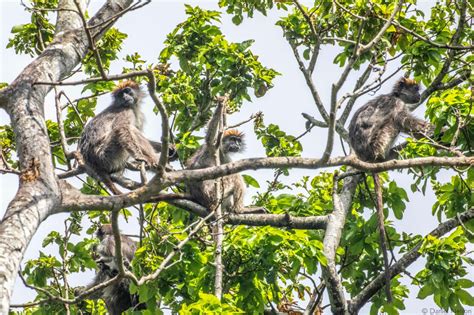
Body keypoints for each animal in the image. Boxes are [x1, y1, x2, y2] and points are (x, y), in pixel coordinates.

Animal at [346, 77, 432, 304]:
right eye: (414, 89)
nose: (419, 96)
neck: (394, 96)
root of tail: (367, 158)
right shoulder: (395, 105)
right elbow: (403, 119)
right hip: (378, 140)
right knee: (395, 121)